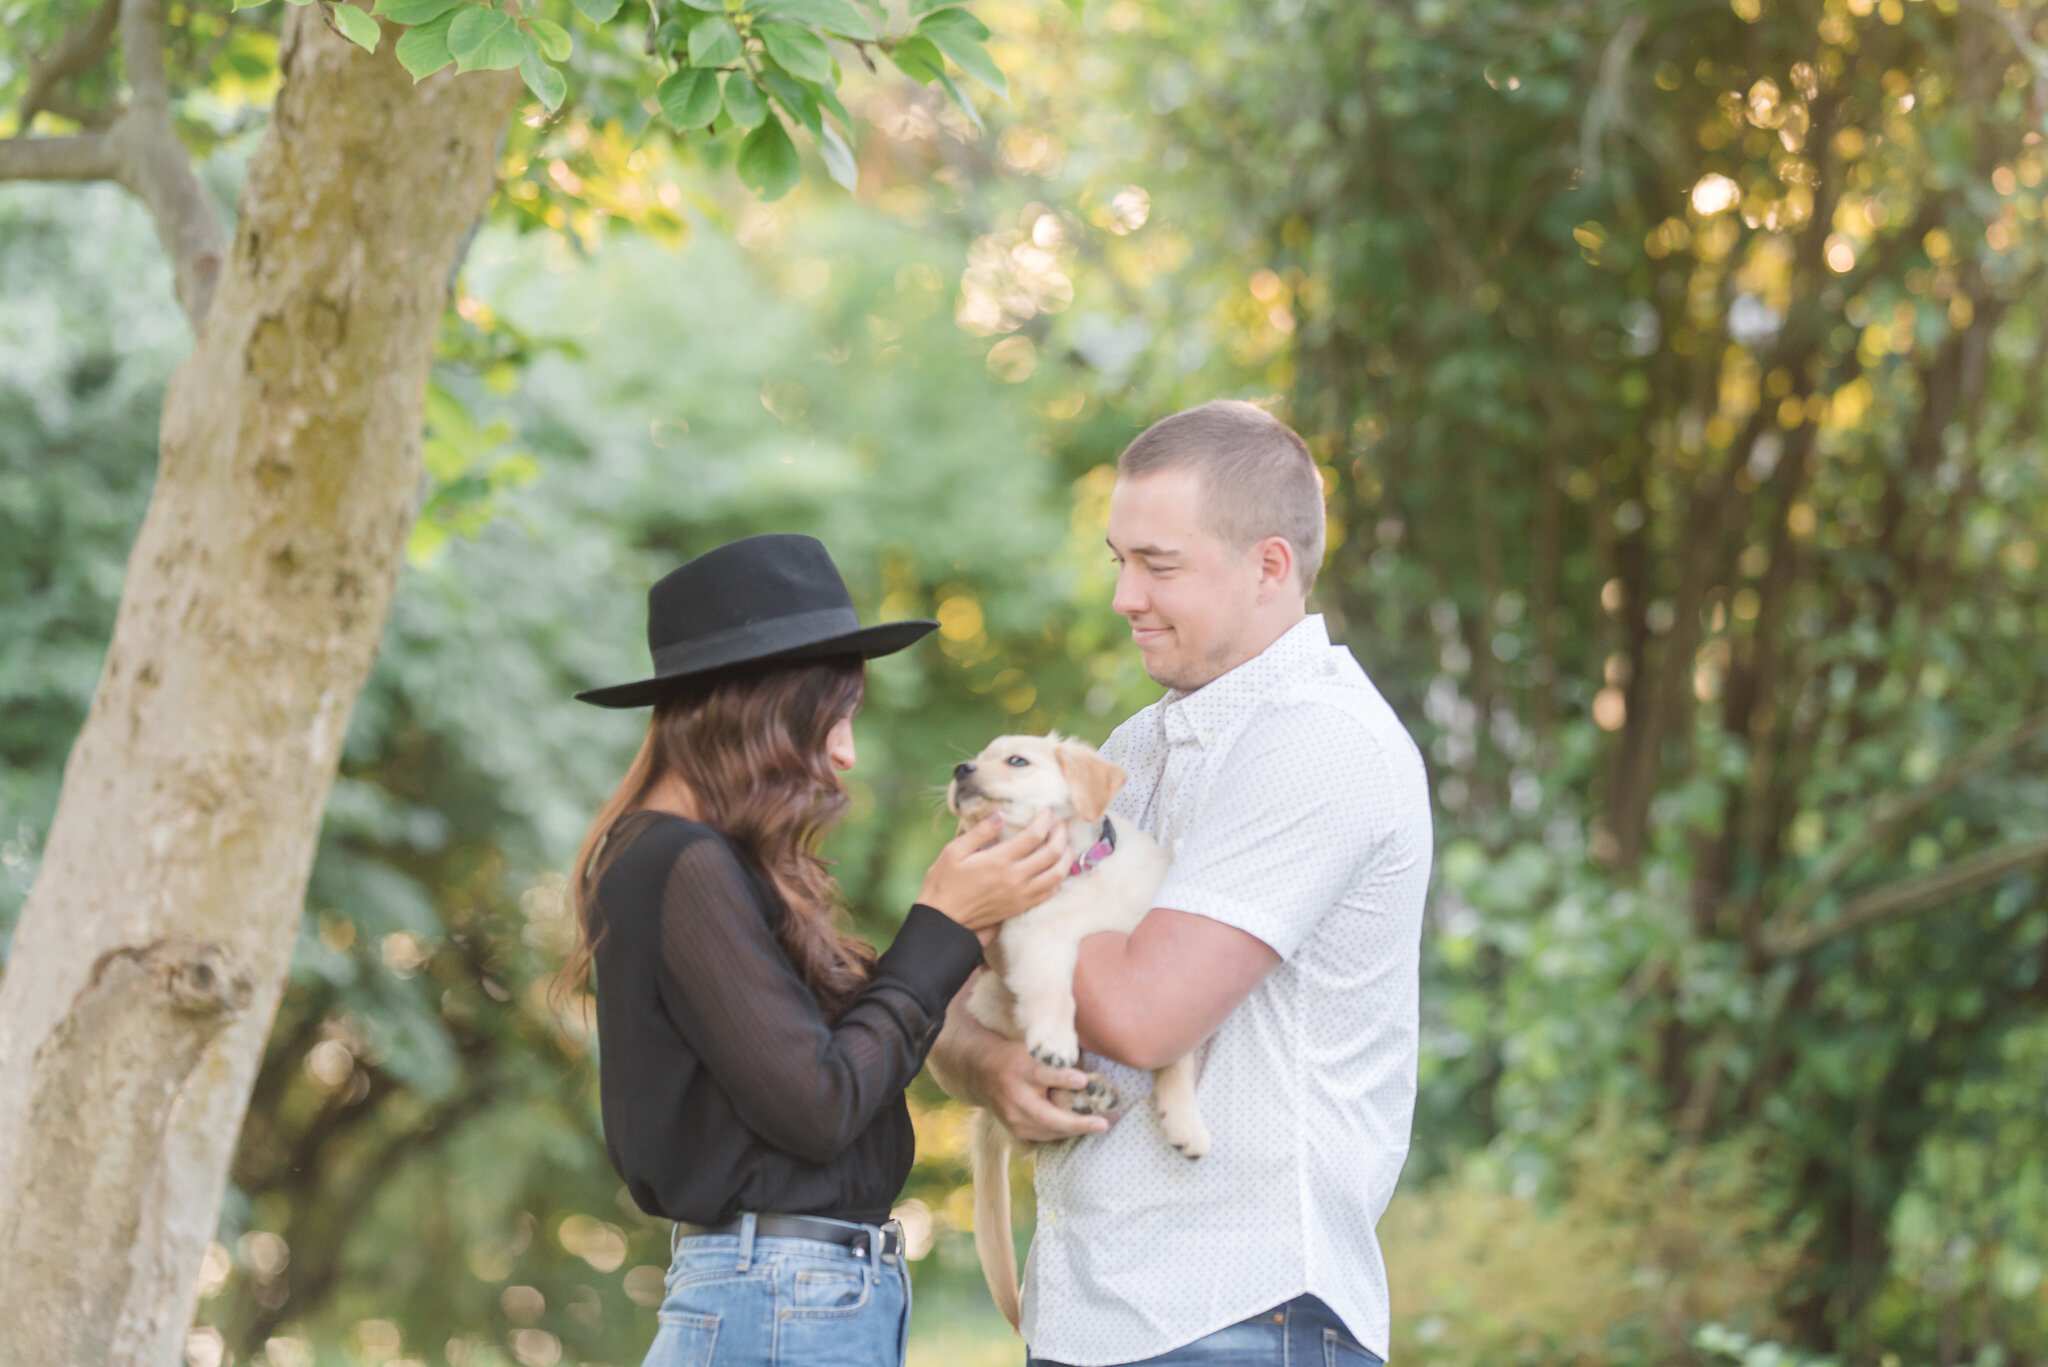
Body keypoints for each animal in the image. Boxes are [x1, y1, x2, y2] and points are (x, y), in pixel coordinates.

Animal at [946, 733, 1212, 1328]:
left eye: (1016, 761)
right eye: (979, 756)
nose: (960, 769)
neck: (1075, 870)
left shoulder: (1156, 974)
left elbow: (1175, 1056)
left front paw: (1182, 1118)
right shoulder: (1032, 940)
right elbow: (1052, 992)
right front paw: (1055, 1042)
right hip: (990, 999)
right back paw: (1078, 1093)